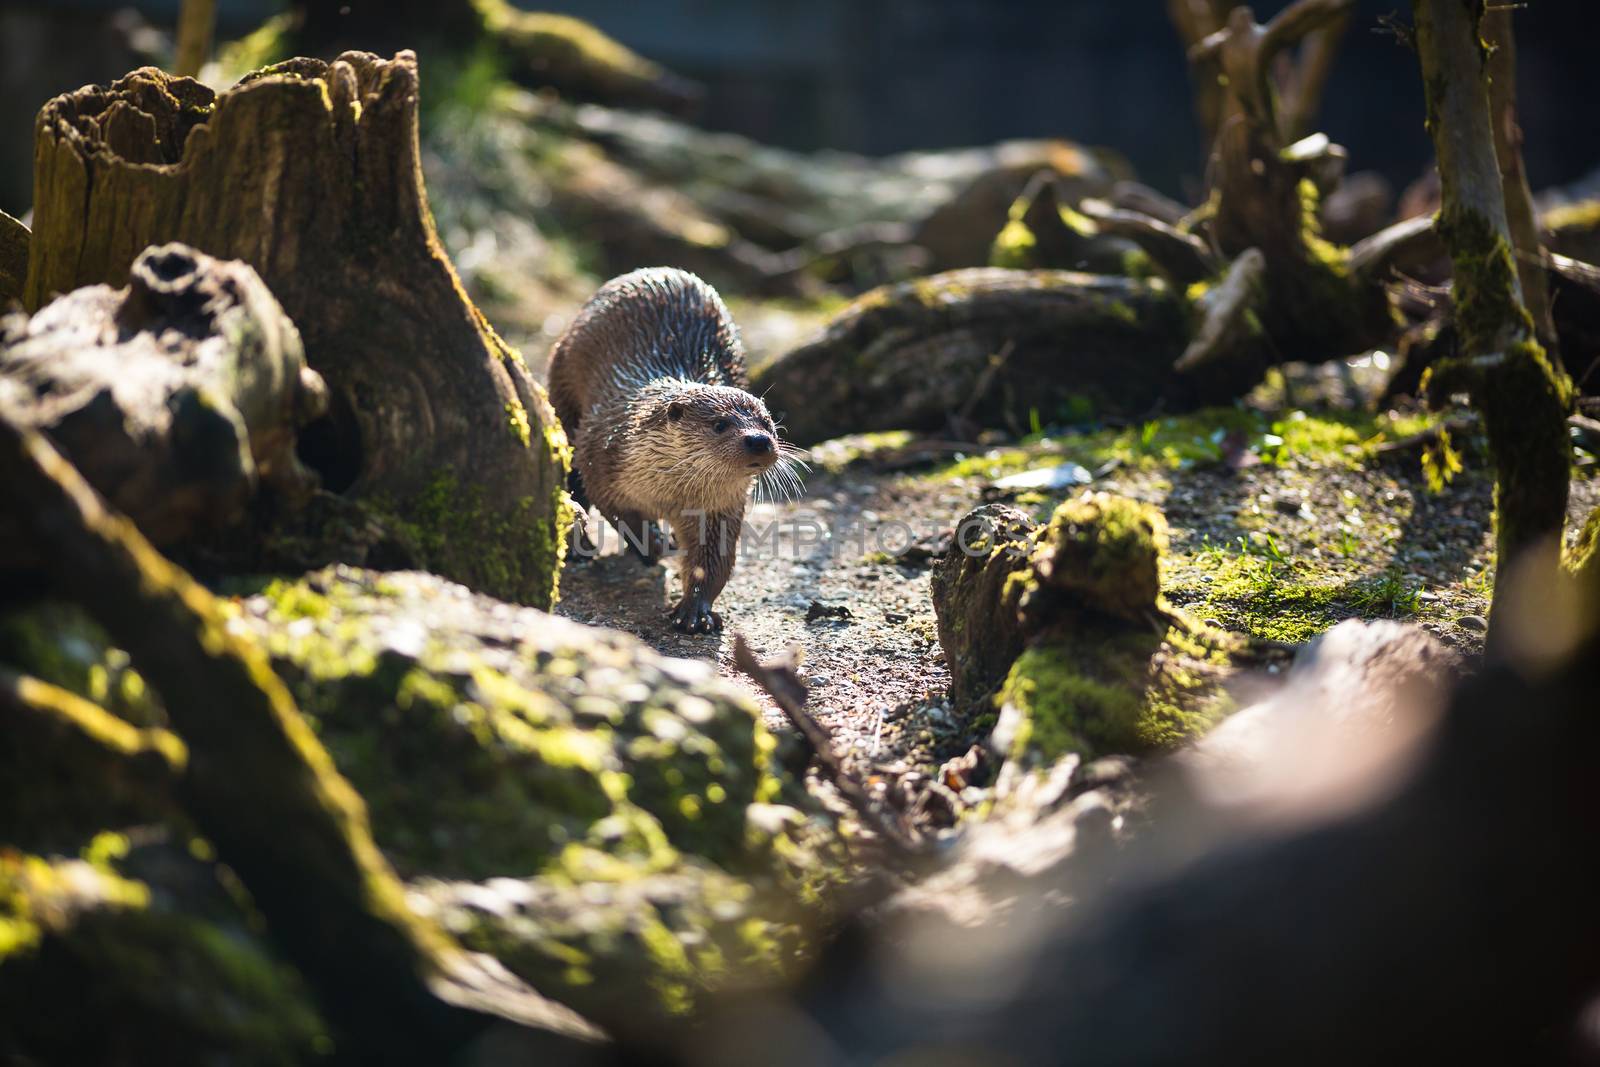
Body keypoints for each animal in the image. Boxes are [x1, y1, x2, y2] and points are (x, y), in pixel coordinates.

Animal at [547, 268, 800, 633]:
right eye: (720, 424)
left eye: (768, 423)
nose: (759, 440)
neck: (667, 495)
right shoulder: (602, 460)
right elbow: (620, 513)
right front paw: (652, 544)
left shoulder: (719, 508)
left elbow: (713, 559)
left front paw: (695, 611)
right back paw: (580, 551)